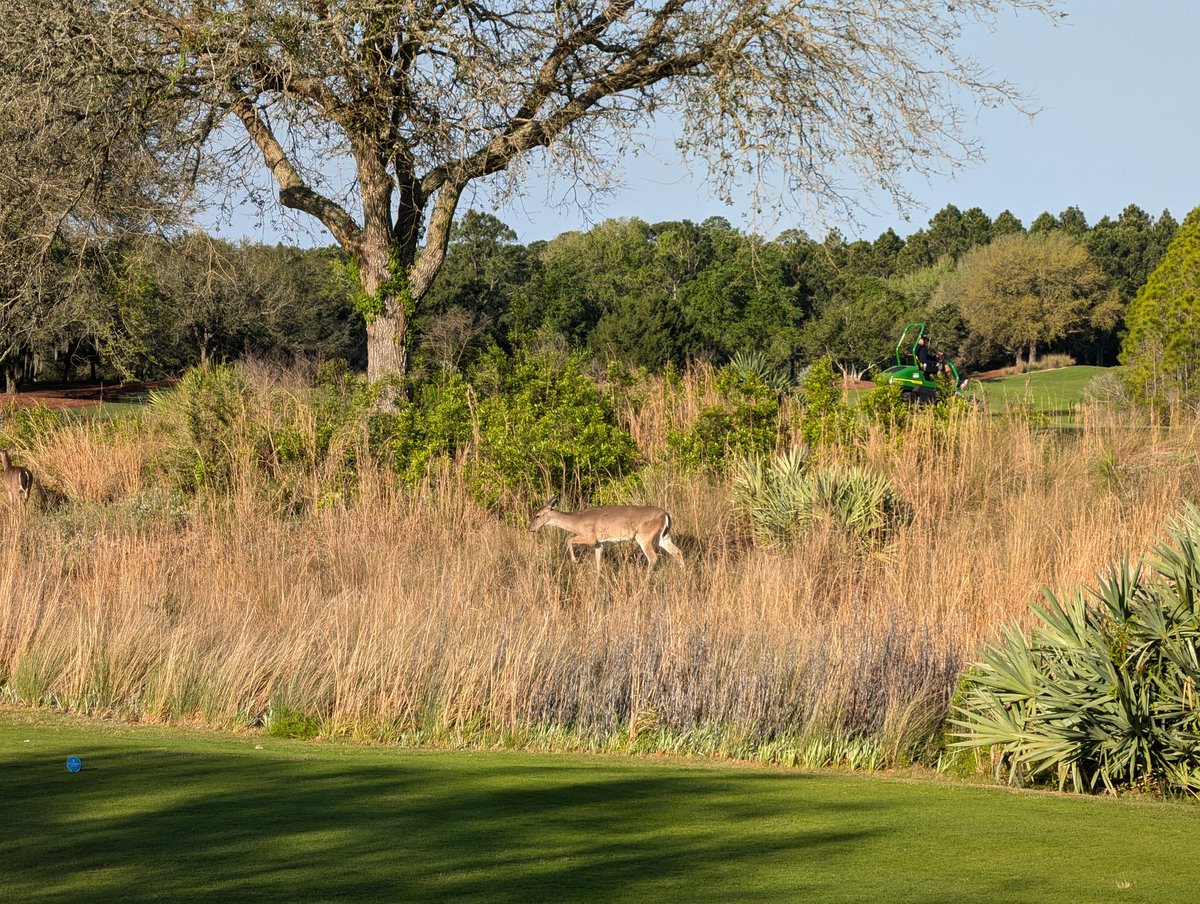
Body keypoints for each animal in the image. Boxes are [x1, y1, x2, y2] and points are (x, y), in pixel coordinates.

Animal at [529, 496, 684, 573]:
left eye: (537, 515)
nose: (530, 528)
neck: (576, 521)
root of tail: (666, 515)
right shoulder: (600, 542)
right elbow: (598, 561)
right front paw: (598, 578)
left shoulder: (591, 537)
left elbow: (569, 539)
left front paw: (575, 561)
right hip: (663, 537)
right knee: (677, 551)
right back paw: (683, 574)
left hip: (644, 537)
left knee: (653, 558)